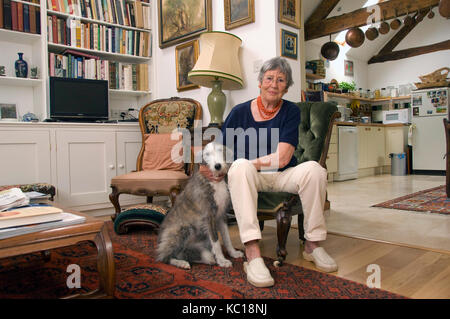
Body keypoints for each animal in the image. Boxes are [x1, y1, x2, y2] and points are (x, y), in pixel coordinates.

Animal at [157, 142, 244, 270]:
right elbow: (216, 241)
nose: (217, 166)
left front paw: (233, 253)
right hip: (182, 229)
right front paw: (222, 260)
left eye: (220, 150)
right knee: (164, 258)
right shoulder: (209, 216)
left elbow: (227, 238)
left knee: (189, 254)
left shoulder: (222, 215)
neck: (215, 181)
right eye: (207, 154)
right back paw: (181, 263)